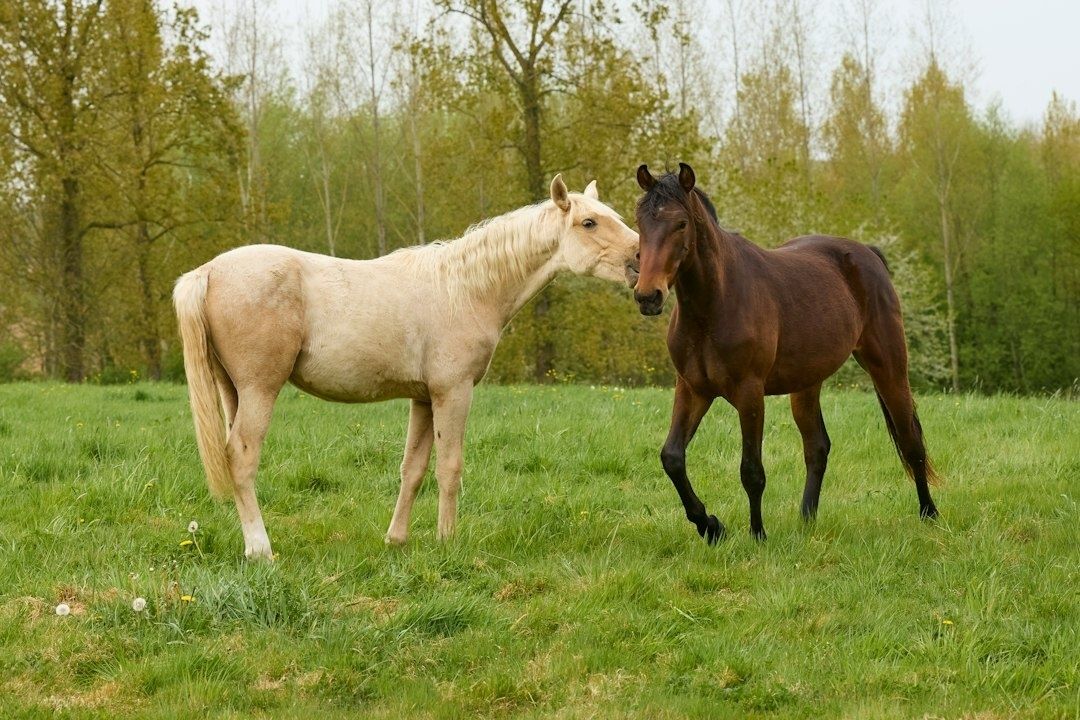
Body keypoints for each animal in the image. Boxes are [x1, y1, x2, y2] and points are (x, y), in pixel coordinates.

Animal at [174, 174, 639, 559]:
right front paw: (447, 540)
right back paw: (260, 549)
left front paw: (396, 539)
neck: (464, 289)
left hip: (233, 391)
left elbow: (412, 470)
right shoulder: (453, 392)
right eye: (589, 223)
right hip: (260, 390)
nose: (640, 257)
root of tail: (208, 271)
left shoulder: (423, 398)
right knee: (242, 458)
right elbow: (450, 467)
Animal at [633, 163, 939, 543]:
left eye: (680, 223)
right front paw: (710, 525)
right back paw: (806, 519)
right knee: (817, 447)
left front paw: (757, 535)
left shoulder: (749, 394)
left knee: (911, 442)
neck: (714, 304)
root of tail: (868, 254)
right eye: (641, 221)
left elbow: (751, 470)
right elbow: (672, 458)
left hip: (888, 367)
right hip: (806, 384)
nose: (648, 295)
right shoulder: (692, 390)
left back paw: (929, 514)